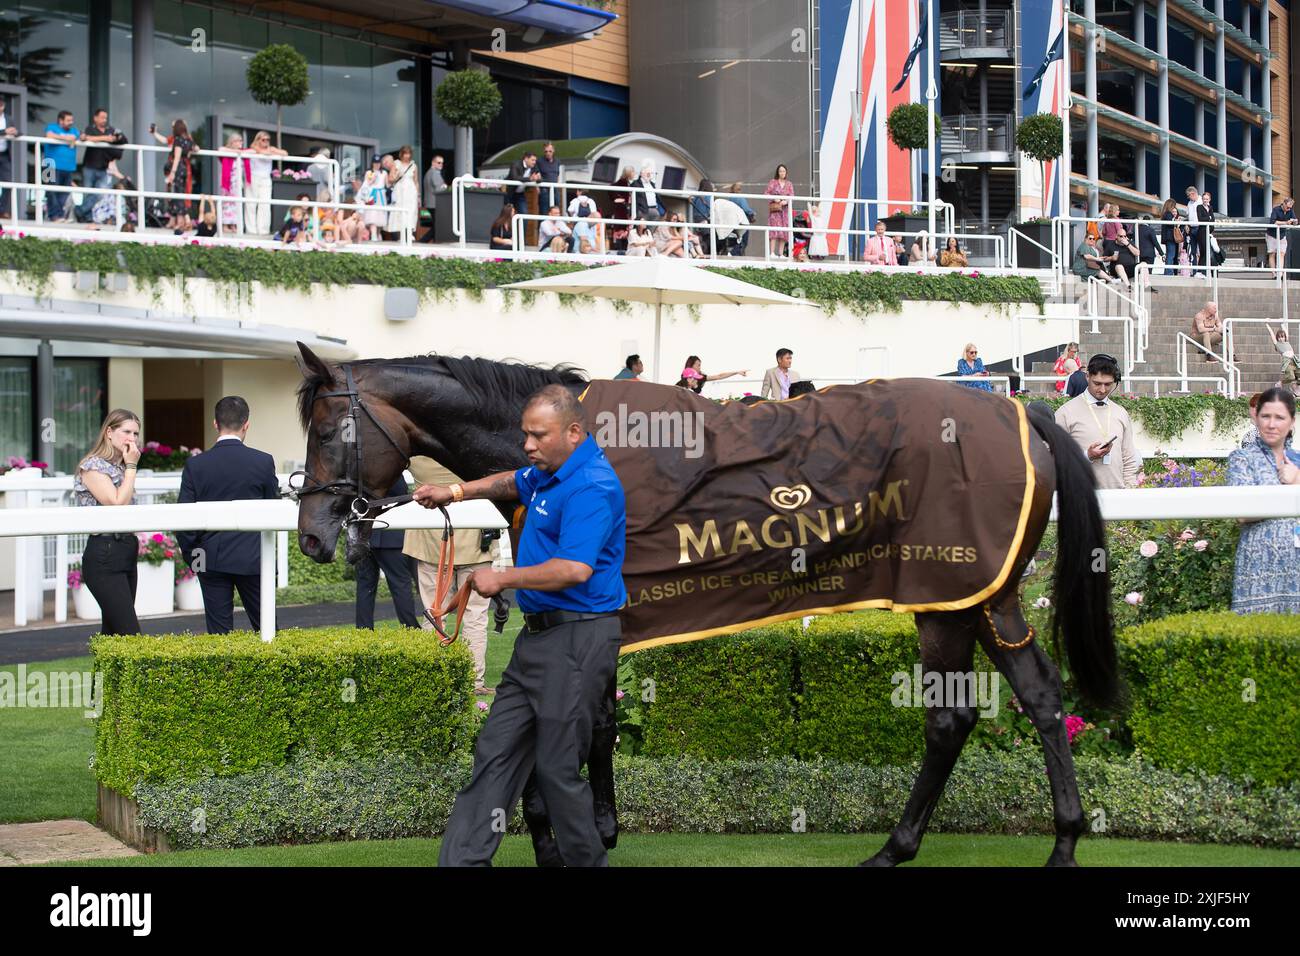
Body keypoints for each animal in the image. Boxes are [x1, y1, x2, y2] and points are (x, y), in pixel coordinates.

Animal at [292, 343, 1118, 868]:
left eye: (329, 430)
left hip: (948, 591)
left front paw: (579, 830)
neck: (563, 453)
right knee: (1030, 698)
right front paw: (588, 826)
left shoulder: (596, 598)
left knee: (961, 715)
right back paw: (1056, 840)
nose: (312, 535)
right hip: (979, 593)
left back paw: (908, 847)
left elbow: (583, 719)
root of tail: (1023, 416)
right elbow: (587, 718)